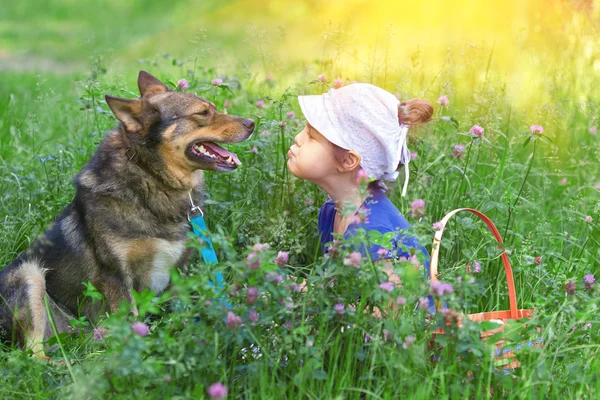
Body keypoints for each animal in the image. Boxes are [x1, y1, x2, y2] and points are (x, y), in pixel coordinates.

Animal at [0, 71, 253, 356]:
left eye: (213, 108)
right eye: (202, 113)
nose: (252, 123)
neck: (151, 177)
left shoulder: (179, 272)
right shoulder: (116, 275)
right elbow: (131, 323)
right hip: (29, 276)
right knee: (34, 356)